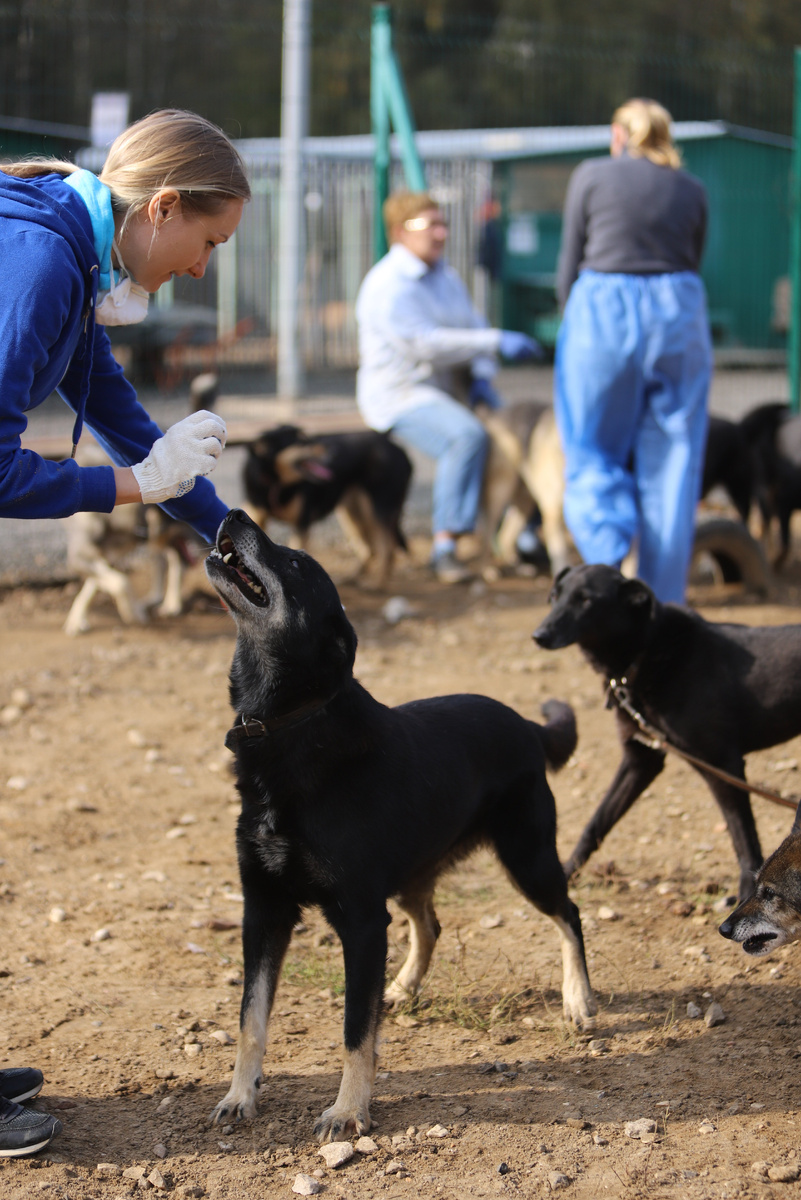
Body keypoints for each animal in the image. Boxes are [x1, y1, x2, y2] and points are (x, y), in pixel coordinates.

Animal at [206, 508, 594, 1142]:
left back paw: (578, 1000)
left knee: (569, 913)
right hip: (415, 869)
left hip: (527, 858)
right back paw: (404, 988)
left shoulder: (362, 920)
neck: (291, 723)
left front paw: (348, 1110)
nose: (233, 513)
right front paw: (240, 1095)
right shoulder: (263, 911)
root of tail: (527, 726)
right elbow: (251, 1019)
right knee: (430, 923)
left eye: (296, 562)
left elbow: (353, 1031)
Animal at [241, 424, 410, 588]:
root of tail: (389, 440)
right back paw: (352, 576)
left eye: (307, 438)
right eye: (300, 441)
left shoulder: (301, 525)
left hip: (377, 509)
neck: (276, 483)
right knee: (369, 548)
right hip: (351, 513)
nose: (334, 452)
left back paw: (377, 584)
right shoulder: (257, 517)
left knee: (387, 548)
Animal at [534, 561, 801, 902]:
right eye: (555, 595)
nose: (539, 635)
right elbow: (596, 823)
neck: (646, 651)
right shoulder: (641, 760)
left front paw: (744, 897)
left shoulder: (723, 766)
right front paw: (567, 873)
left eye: (585, 600)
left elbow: (744, 840)